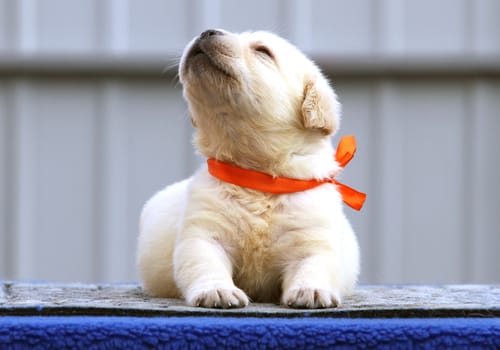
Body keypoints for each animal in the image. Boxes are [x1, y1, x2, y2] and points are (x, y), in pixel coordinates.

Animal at [138, 30, 360, 308]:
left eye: (263, 51)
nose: (207, 32)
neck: (257, 175)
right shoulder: (203, 233)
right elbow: (206, 263)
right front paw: (218, 291)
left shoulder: (312, 238)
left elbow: (314, 265)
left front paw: (311, 291)